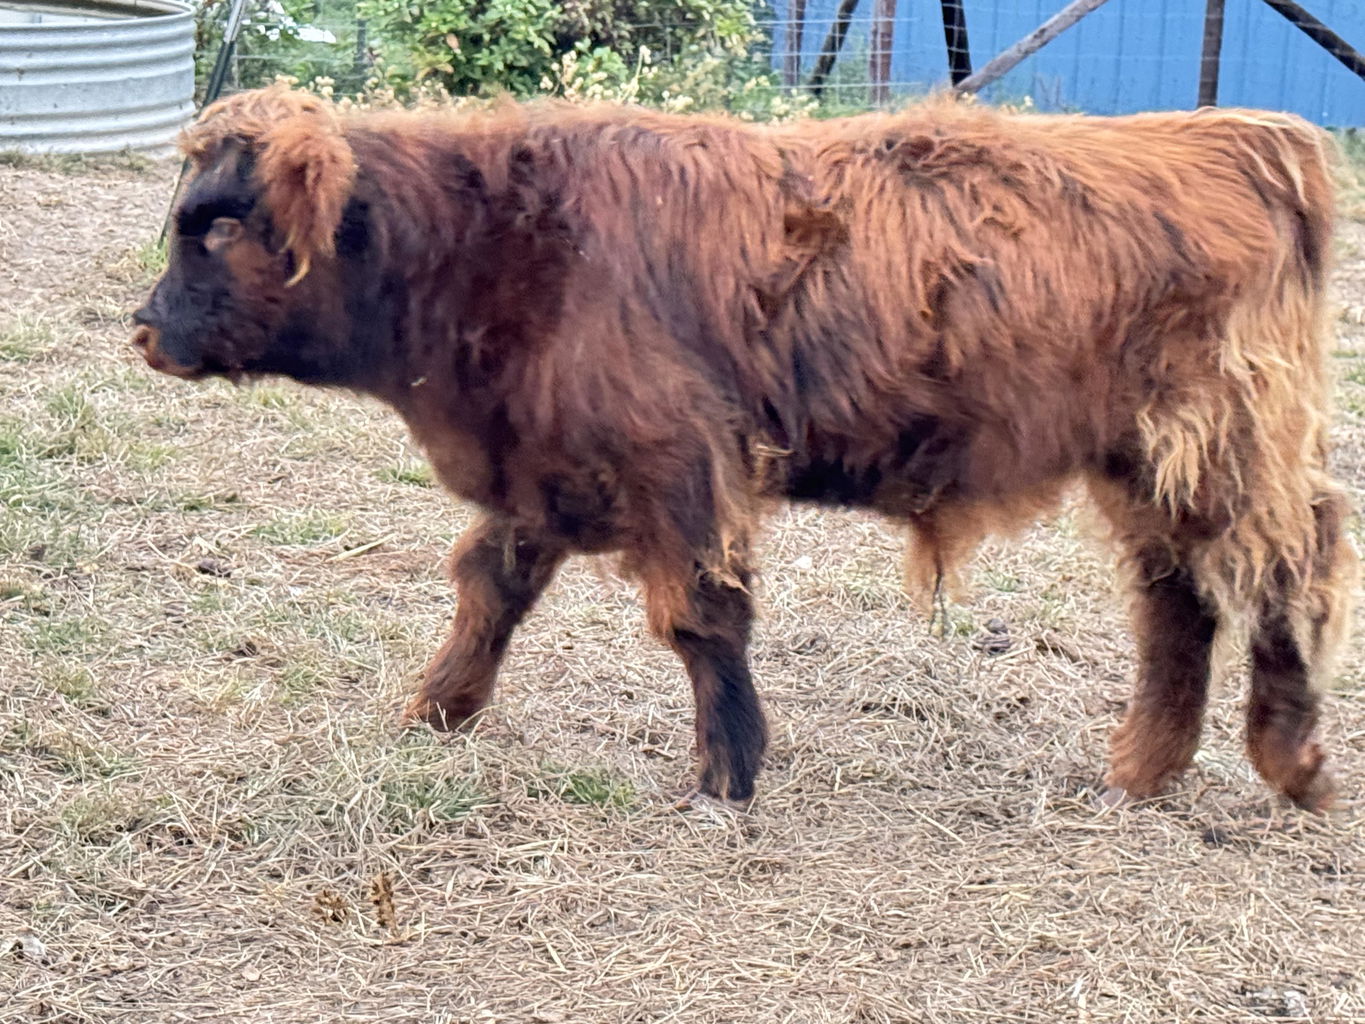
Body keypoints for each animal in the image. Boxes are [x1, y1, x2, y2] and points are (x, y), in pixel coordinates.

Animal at [133, 85, 1356, 810]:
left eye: (223, 224)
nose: (144, 327)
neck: (495, 241)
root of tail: (1242, 134)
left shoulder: (676, 464)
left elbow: (700, 617)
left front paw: (728, 770)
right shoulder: (547, 470)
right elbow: (489, 586)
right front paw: (437, 709)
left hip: (1226, 447)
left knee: (1287, 570)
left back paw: (1290, 765)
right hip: (1149, 467)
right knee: (1177, 598)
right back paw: (1142, 770)